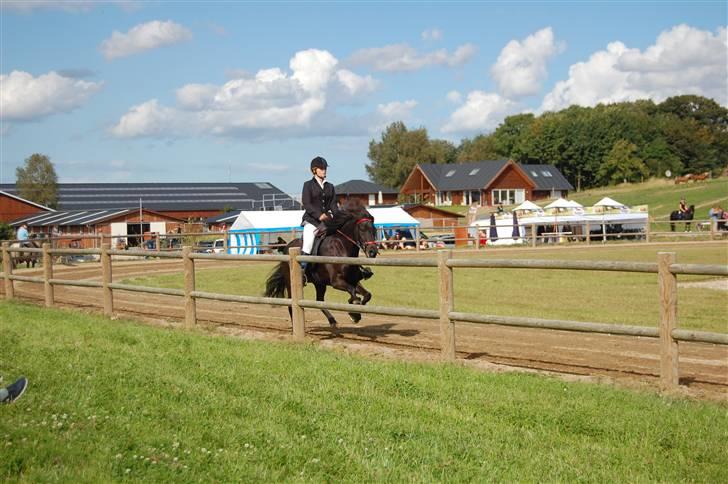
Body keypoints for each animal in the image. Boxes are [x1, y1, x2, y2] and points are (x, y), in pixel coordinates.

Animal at [268, 198, 382, 328]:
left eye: (373, 230)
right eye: (362, 229)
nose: (372, 251)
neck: (341, 248)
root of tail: (287, 247)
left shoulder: (353, 280)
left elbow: (367, 294)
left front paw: (355, 312)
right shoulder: (336, 282)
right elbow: (353, 293)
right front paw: (354, 313)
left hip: (319, 283)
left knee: (319, 301)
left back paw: (332, 320)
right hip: (290, 282)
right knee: (291, 304)